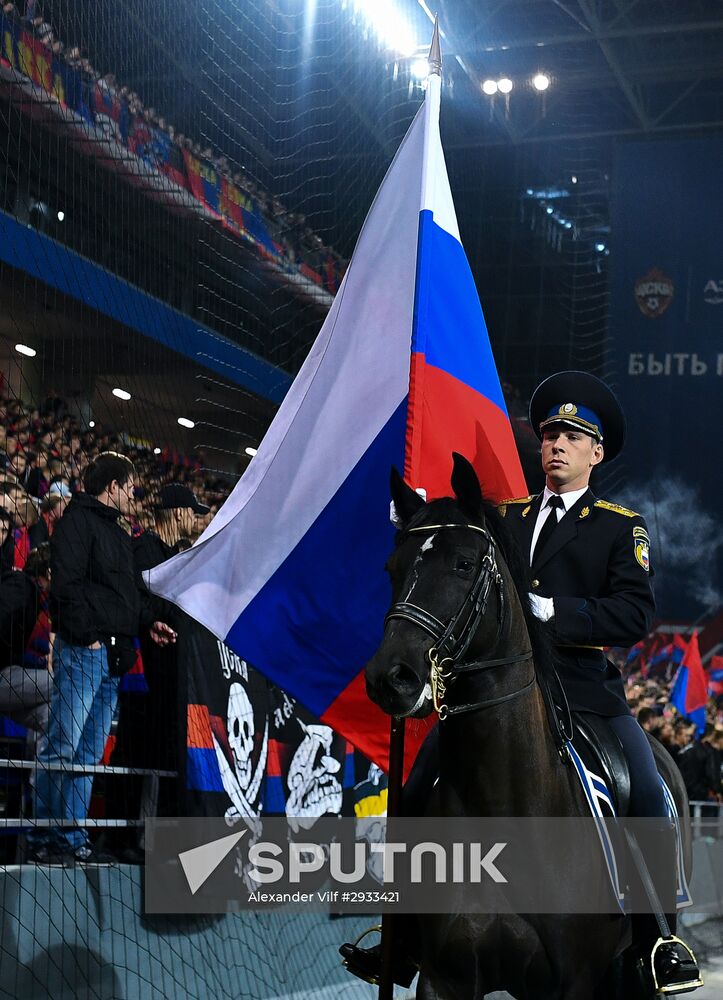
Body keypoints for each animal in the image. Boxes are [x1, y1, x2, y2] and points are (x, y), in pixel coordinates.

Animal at [364, 456, 692, 1000]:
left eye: (464, 564)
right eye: (391, 568)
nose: (391, 678)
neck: (504, 803)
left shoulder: (573, 982)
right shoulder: (444, 979)